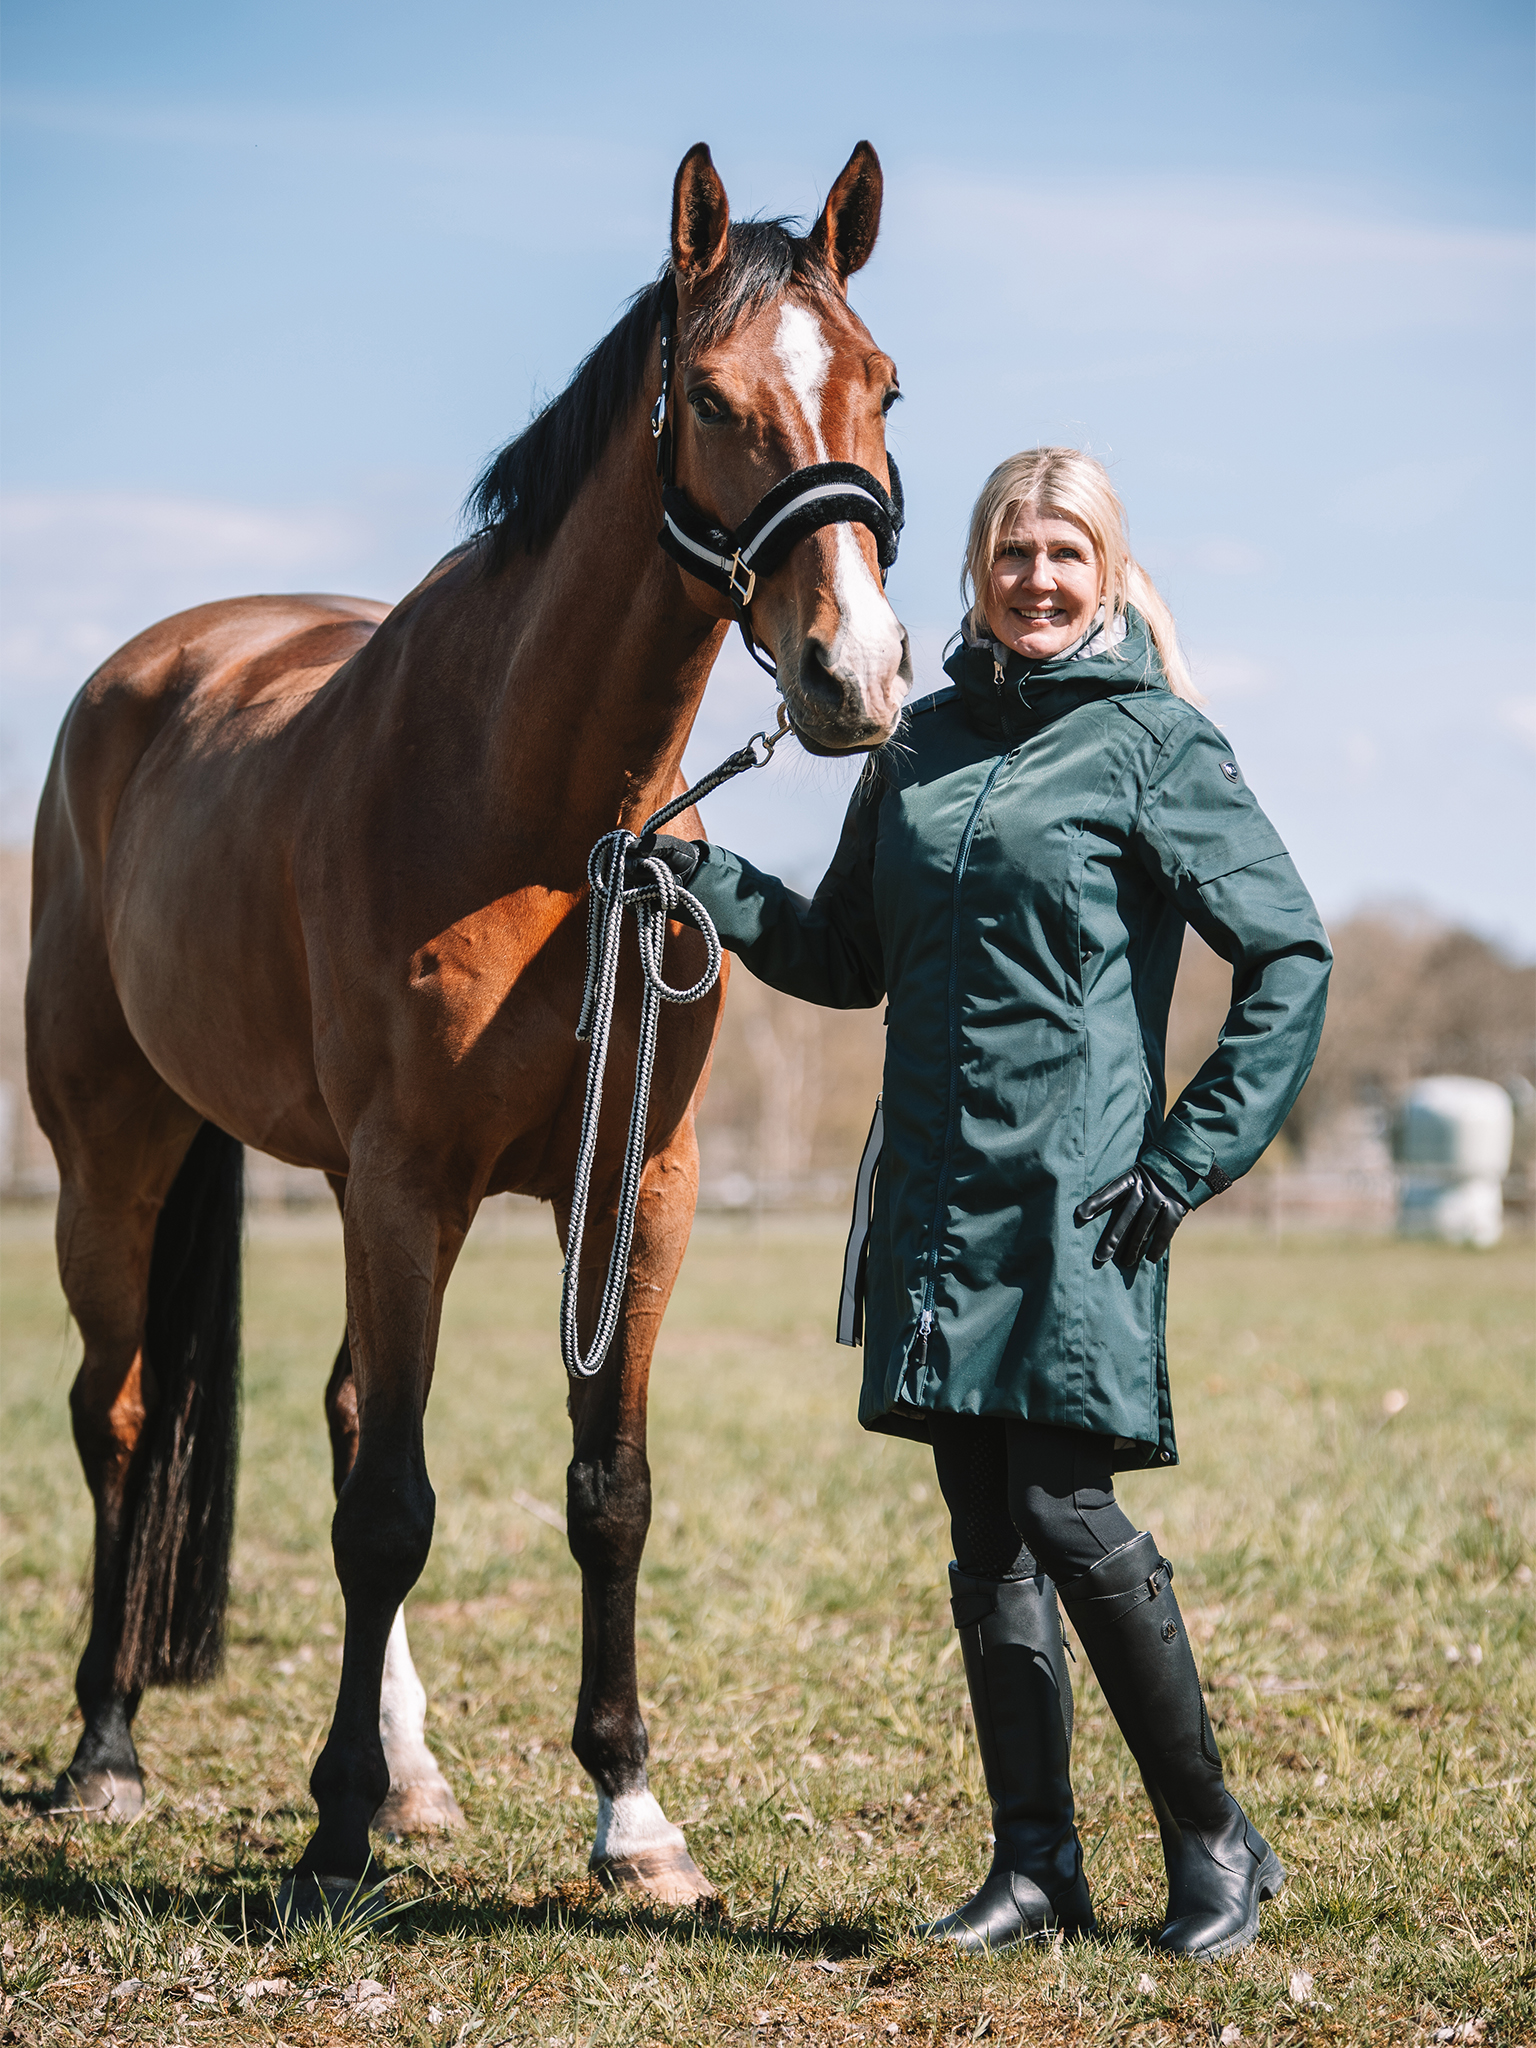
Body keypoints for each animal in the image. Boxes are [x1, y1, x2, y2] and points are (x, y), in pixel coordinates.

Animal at [25, 139, 910, 1916]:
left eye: (886, 389)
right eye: (716, 398)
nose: (856, 672)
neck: (542, 816)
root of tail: (144, 672)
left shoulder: (636, 1191)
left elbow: (607, 1493)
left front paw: (631, 1812)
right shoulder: (408, 1182)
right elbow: (388, 1514)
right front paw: (333, 1833)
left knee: (341, 1415)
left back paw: (412, 1765)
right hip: (116, 1160)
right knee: (124, 1416)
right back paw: (107, 1748)